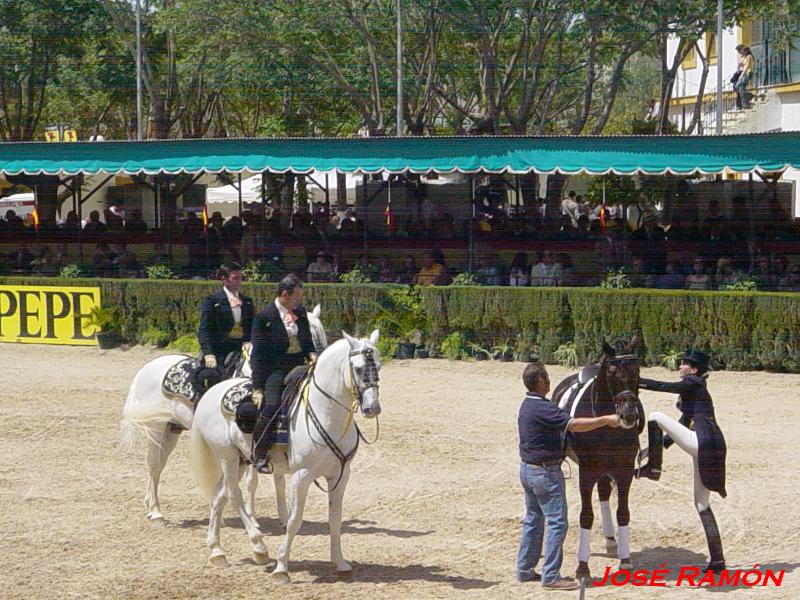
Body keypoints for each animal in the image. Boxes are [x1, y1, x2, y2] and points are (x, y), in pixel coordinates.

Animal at [120, 304, 326, 520]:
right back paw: (155, 510)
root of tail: (146, 369)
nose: (316, 362)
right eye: (310, 334)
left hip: (171, 429)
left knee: (158, 464)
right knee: (153, 463)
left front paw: (284, 517)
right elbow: (253, 480)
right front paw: (252, 514)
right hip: (156, 428)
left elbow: (278, 478)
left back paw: (150, 503)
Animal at [192, 330, 382, 580]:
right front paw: (282, 567)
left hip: (241, 459)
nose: (372, 408)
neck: (326, 413)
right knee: (234, 496)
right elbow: (294, 521)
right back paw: (259, 547)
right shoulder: (302, 476)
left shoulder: (340, 476)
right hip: (227, 457)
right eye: (359, 368)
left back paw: (217, 552)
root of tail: (211, 393)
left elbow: (335, 520)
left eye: (378, 366)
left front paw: (340, 563)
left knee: (219, 497)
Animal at [552, 336, 644, 580]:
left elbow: (623, 513)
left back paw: (611, 541)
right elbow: (586, 515)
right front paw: (582, 567)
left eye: (637, 370)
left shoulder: (623, 471)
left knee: (603, 493)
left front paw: (625, 559)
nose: (629, 415)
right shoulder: (587, 471)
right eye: (612, 371)